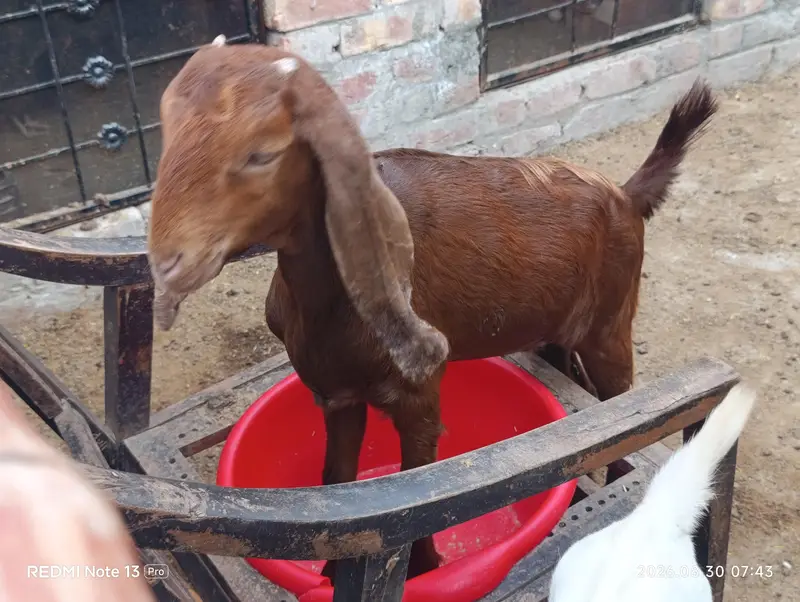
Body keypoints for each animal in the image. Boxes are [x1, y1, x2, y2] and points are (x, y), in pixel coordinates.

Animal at [146, 37, 717, 580]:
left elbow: (416, 483)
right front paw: (330, 572)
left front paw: (424, 568)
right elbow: (337, 479)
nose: (168, 260)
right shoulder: (335, 393)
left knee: (625, 404)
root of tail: (624, 195)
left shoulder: (420, 391)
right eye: (168, 134)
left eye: (262, 154)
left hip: (611, 320)